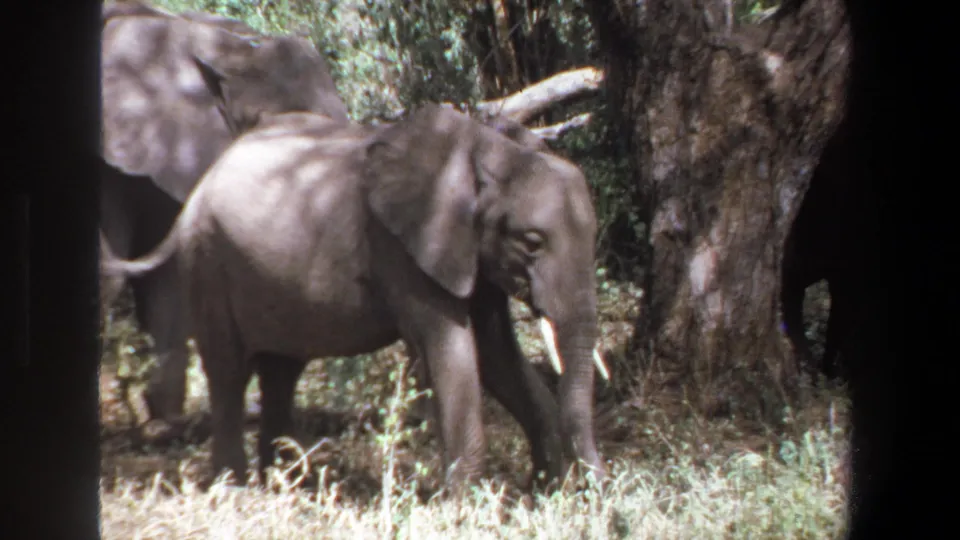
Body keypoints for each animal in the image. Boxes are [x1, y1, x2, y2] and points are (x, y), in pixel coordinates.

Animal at [101, 105, 611, 492]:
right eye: (532, 242)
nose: (601, 494)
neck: (487, 149)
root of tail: (199, 187)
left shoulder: (470, 255)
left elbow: (498, 353)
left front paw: (545, 493)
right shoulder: (403, 248)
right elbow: (453, 351)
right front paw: (463, 504)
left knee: (281, 370)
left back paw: (289, 485)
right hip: (208, 262)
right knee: (229, 371)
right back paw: (237, 489)